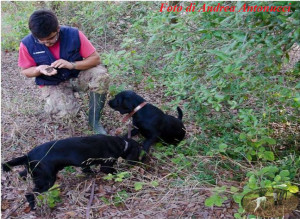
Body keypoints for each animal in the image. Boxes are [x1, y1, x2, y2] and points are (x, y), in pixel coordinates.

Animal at [2, 134, 141, 210]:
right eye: (139, 152)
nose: (139, 163)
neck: (122, 144)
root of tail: (28, 155)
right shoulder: (106, 166)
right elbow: (114, 172)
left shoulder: (86, 164)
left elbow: (88, 170)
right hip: (47, 180)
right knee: (30, 194)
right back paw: (33, 206)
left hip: (34, 173)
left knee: (21, 174)